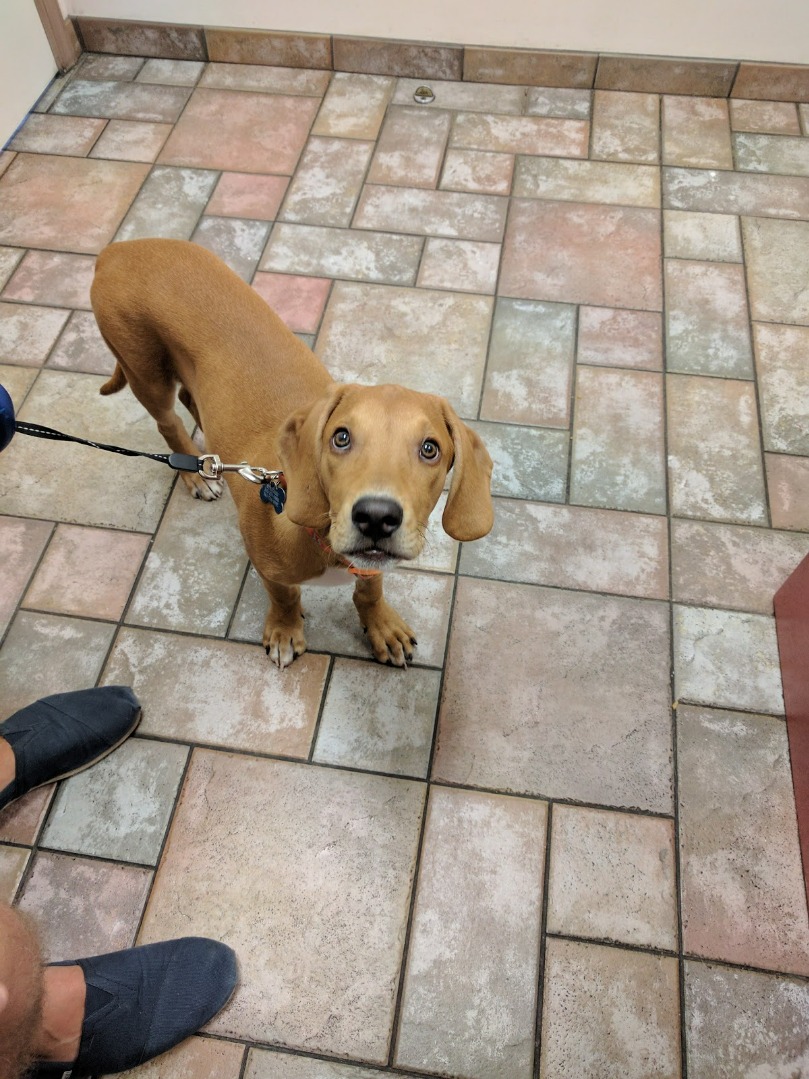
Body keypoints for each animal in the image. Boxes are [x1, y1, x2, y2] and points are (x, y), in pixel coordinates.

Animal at [91, 239, 494, 668]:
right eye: (341, 438)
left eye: (430, 448)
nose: (376, 518)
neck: (321, 535)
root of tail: (117, 249)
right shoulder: (265, 563)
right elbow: (284, 595)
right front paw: (286, 631)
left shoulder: (372, 565)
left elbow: (370, 589)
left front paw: (382, 626)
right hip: (145, 371)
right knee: (168, 422)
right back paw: (196, 474)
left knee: (190, 398)